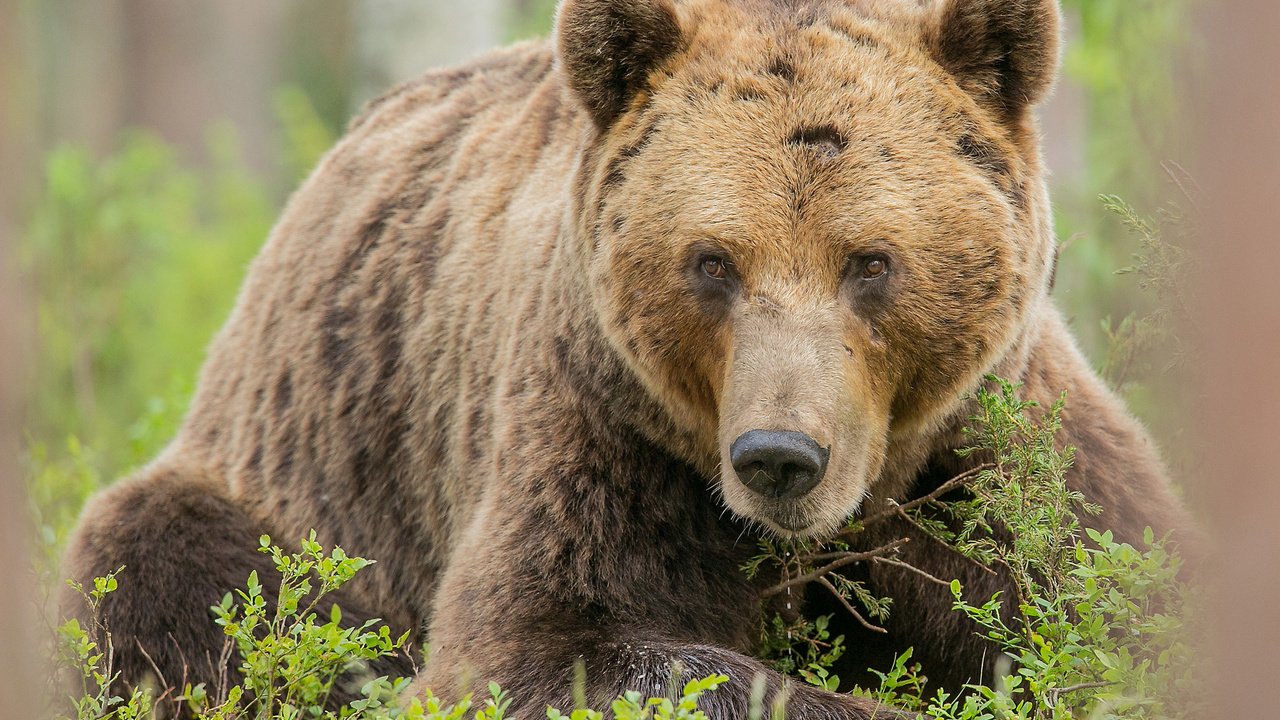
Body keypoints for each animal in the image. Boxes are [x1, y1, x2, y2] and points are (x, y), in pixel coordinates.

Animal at [60, 0, 1182, 712]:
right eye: (711, 260)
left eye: (871, 261)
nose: (779, 457)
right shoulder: (605, 433)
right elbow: (550, 650)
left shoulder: (984, 461)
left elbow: (1117, 599)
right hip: (306, 483)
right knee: (174, 579)